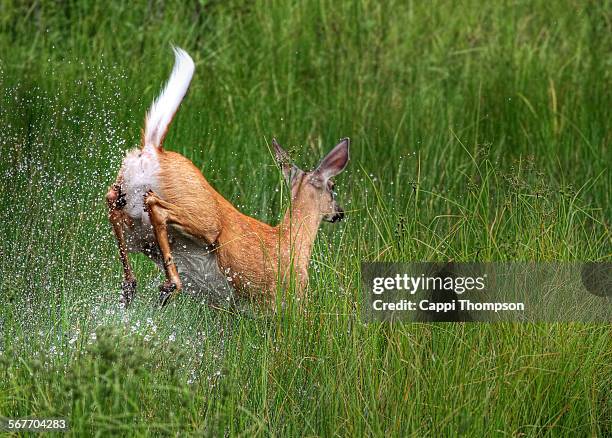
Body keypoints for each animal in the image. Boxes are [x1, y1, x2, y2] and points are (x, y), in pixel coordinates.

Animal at [105, 47, 350, 308]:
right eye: (332, 186)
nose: (339, 213)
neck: (292, 240)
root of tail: (153, 149)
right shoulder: (285, 299)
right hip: (202, 220)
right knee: (157, 207)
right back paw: (169, 286)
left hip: (136, 226)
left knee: (113, 200)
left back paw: (130, 287)